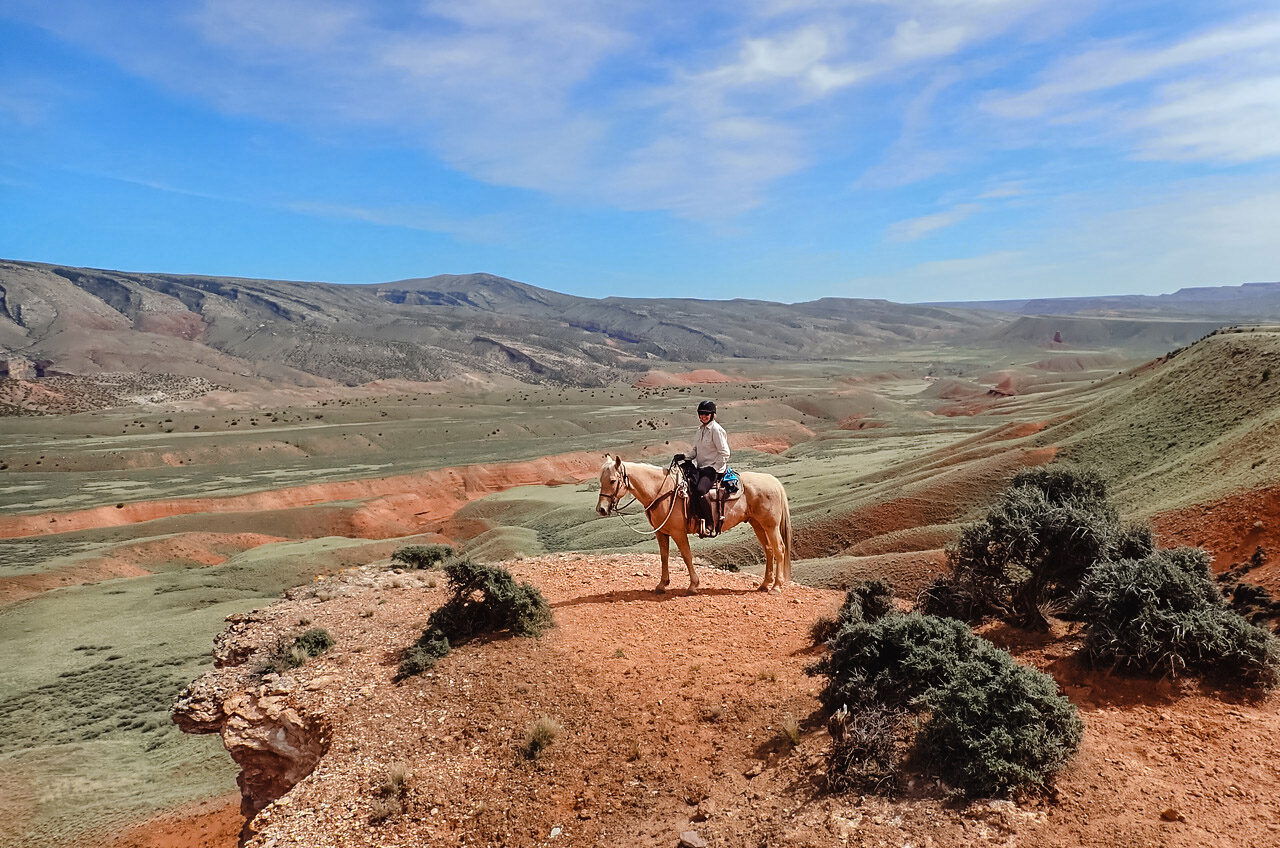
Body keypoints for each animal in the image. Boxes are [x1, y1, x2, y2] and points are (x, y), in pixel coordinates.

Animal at [595, 454, 792, 594]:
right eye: (600, 480)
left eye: (612, 481)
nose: (601, 509)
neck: (663, 492)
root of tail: (774, 481)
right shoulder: (661, 532)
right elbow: (664, 556)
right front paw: (662, 584)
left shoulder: (678, 532)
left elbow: (687, 556)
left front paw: (693, 586)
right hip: (757, 524)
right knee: (768, 550)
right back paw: (765, 584)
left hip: (771, 526)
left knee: (779, 549)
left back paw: (776, 587)